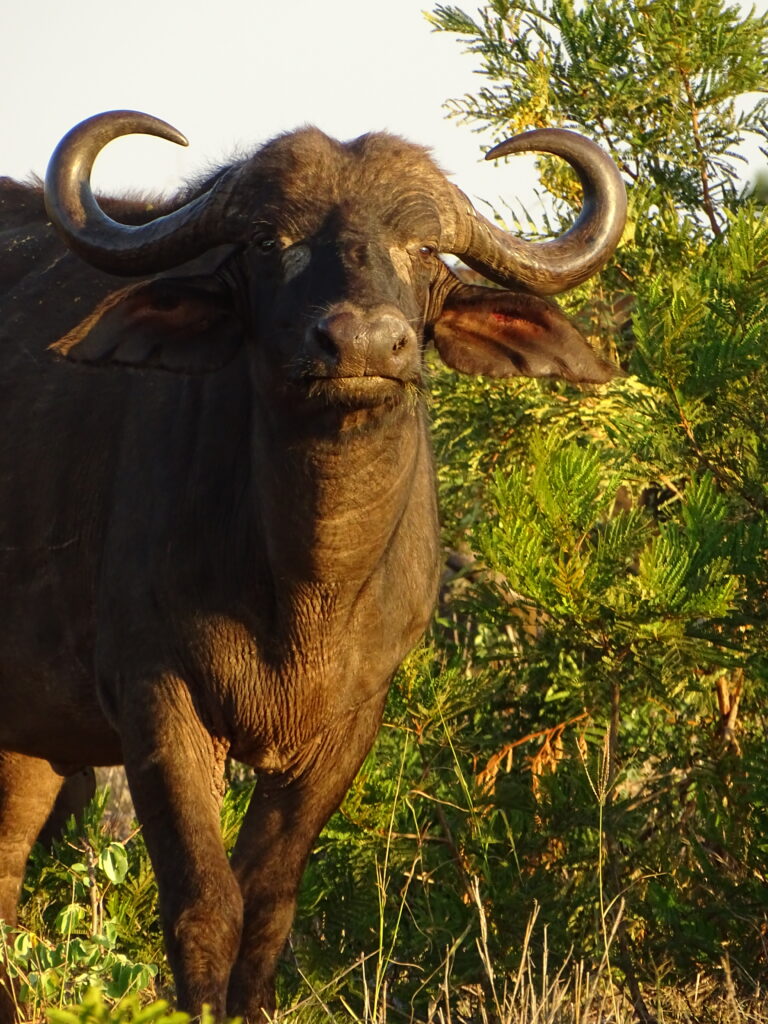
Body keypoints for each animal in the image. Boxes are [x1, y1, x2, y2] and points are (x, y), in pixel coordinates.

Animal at [0, 111, 626, 1021]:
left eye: (424, 248)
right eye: (270, 240)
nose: (362, 342)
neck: (305, 586)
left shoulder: (349, 723)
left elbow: (267, 904)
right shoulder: (157, 702)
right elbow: (205, 903)